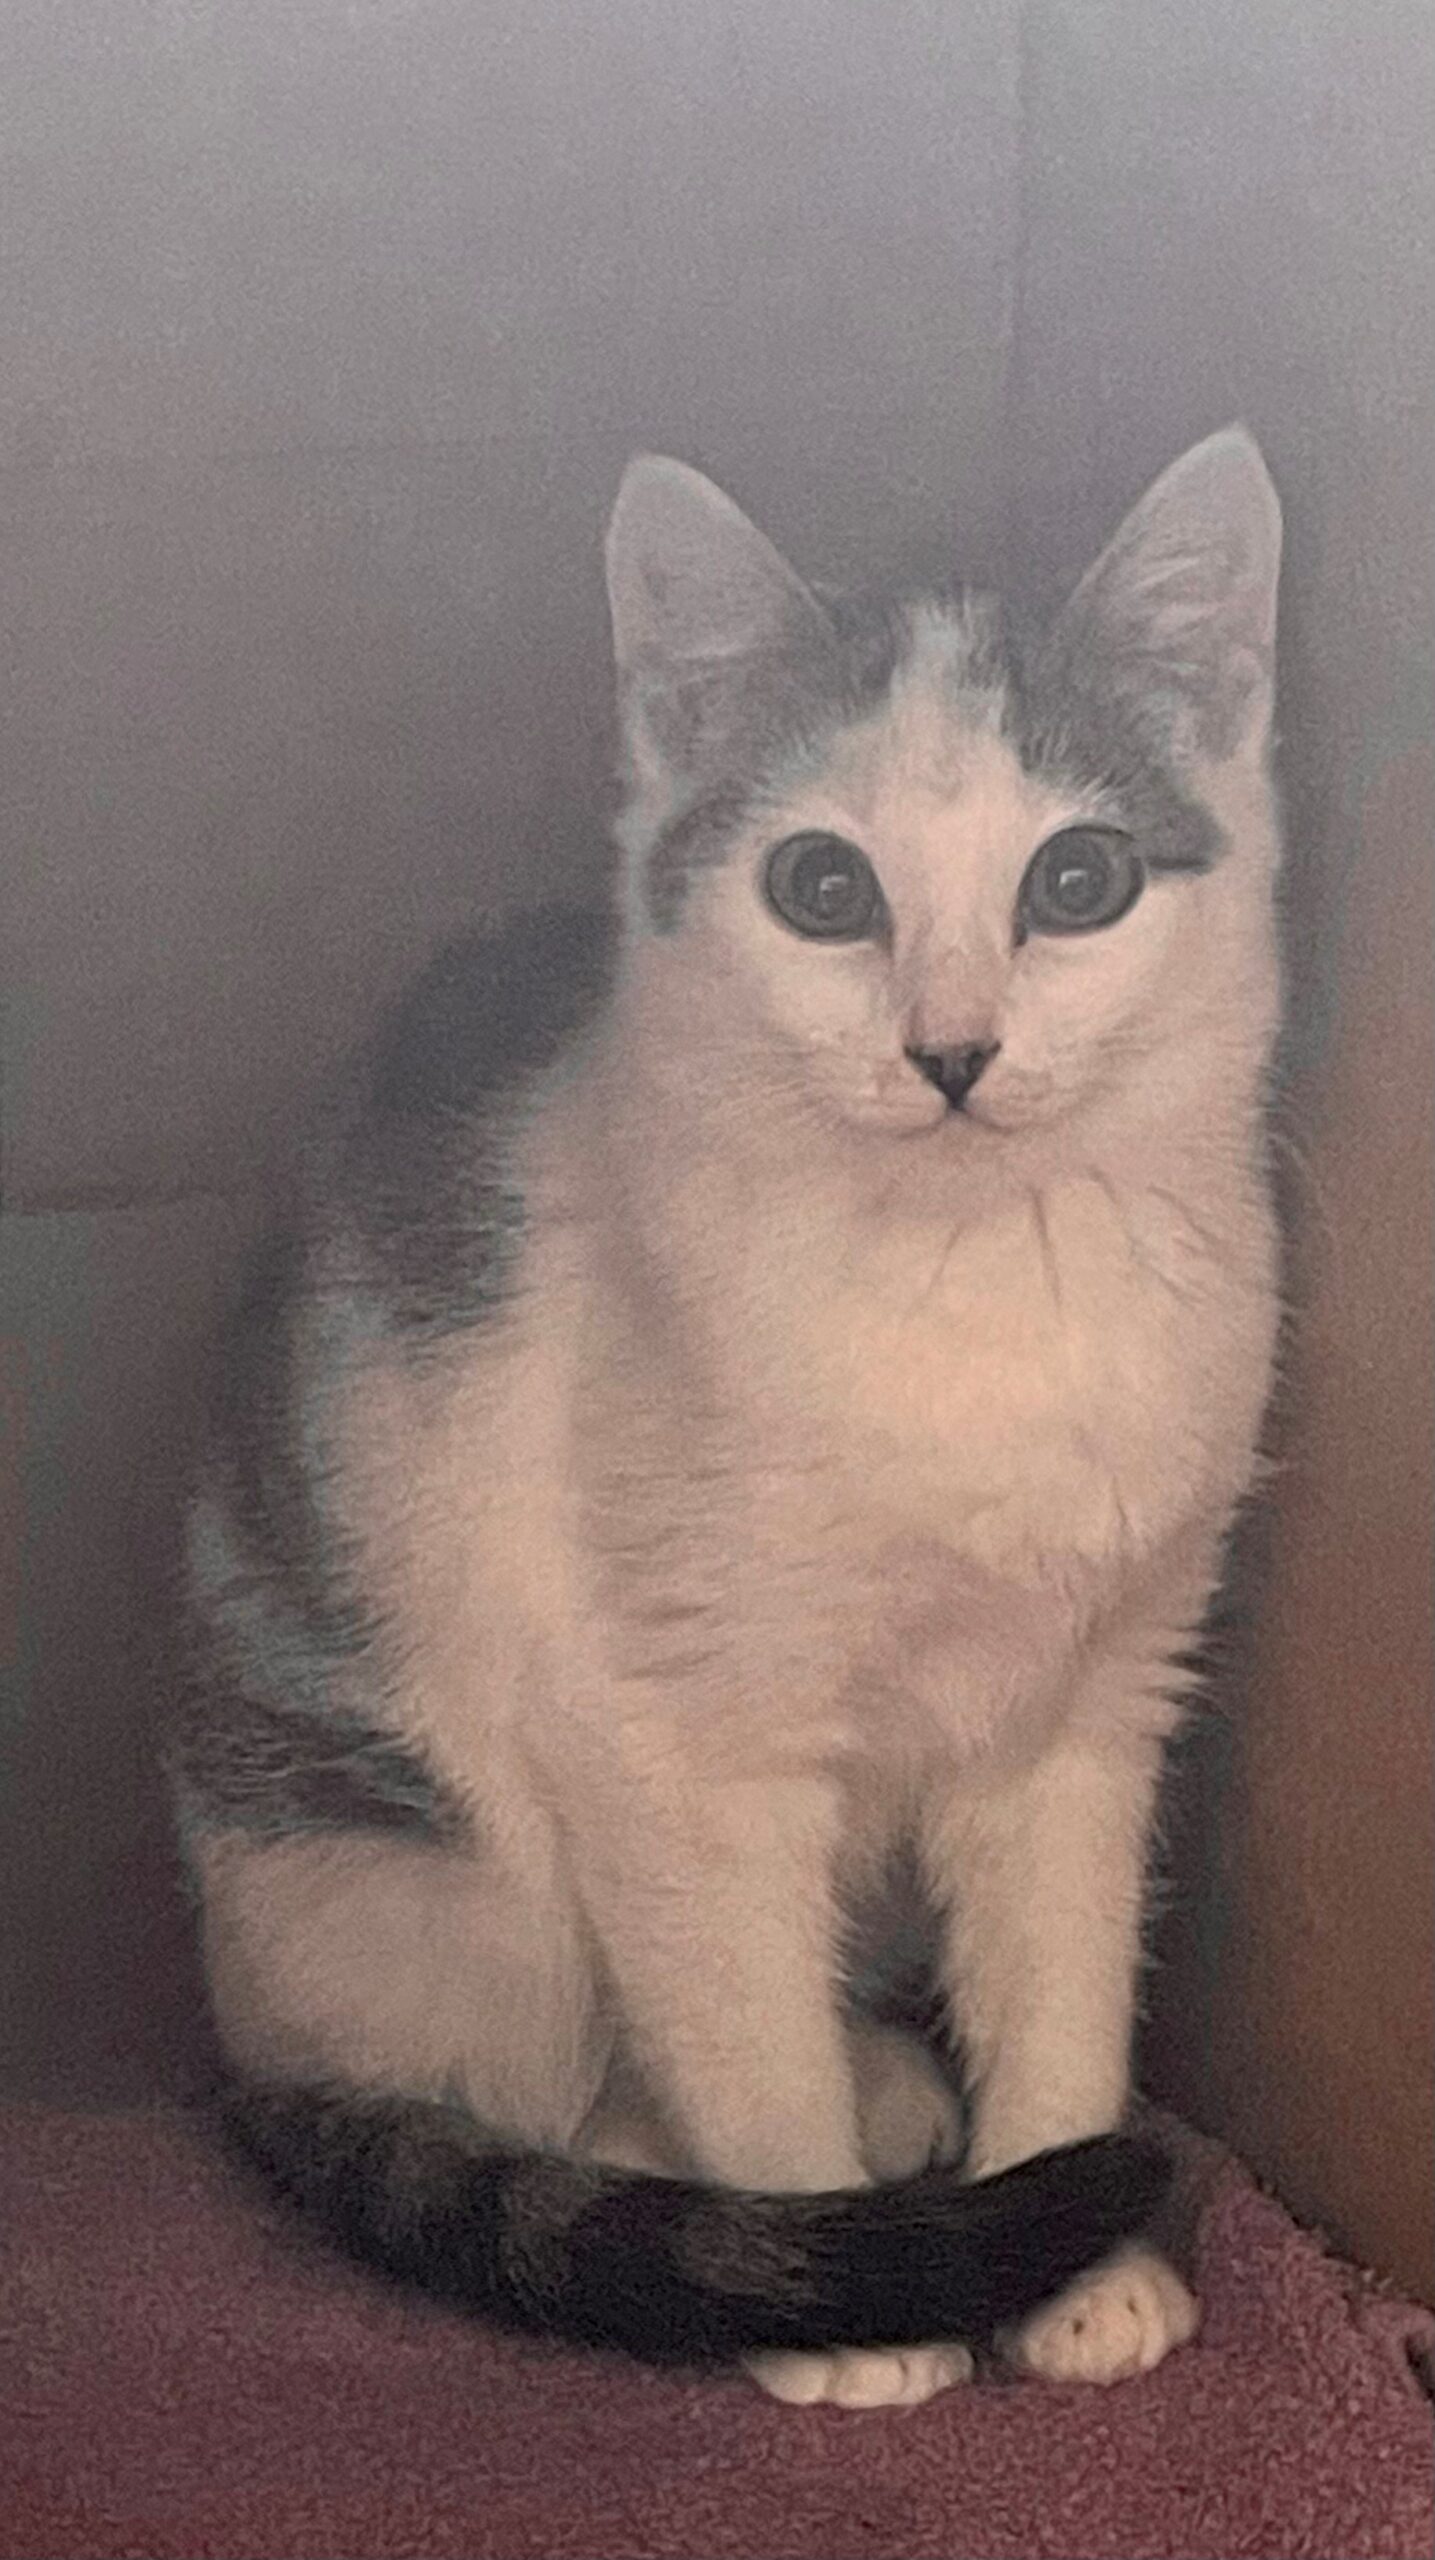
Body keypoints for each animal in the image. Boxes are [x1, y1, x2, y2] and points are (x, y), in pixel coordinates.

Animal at [173, 424, 1283, 2409]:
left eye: (1078, 881)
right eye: (823, 891)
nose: (951, 1050)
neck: (969, 1285)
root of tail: (243, 2038)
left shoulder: (1097, 1703)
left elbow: (1065, 1970)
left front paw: (1078, 2262)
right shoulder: (667, 1742)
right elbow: (737, 2025)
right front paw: (850, 2299)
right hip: (417, 1874)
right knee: (545, 2093)